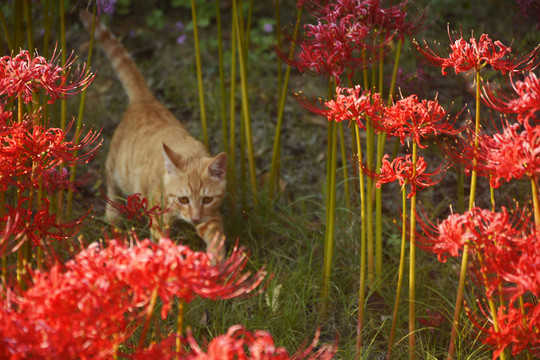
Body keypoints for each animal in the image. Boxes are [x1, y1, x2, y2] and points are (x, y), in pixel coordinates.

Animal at [80, 9, 226, 258]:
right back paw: (113, 217)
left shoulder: (210, 216)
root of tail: (144, 100)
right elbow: (164, 243)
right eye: (183, 199)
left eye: (207, 199)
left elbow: (216, 236)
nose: (195, 217)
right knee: (111, 185)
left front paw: (219, 260)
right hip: (117, 167)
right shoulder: (158, 218)